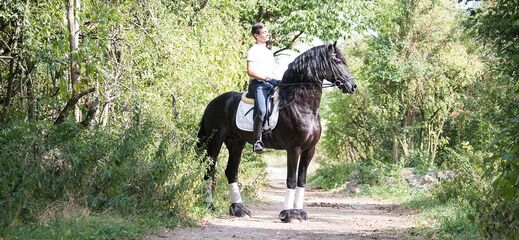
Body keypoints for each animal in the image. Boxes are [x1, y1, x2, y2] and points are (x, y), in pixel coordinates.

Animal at [197, 42, 356, 222]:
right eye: (337, 61)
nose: (353, 86)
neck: (302, 106)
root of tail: (212, 103)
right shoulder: (294, 148)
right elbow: (291, 180)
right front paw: (288, 214)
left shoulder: (310, 149)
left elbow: (301, 180)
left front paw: (299, 212)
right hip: (215, 140)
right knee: (209, 170)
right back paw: (209, 204)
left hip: (235, 142)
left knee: (231, 172)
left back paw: (239, 209)